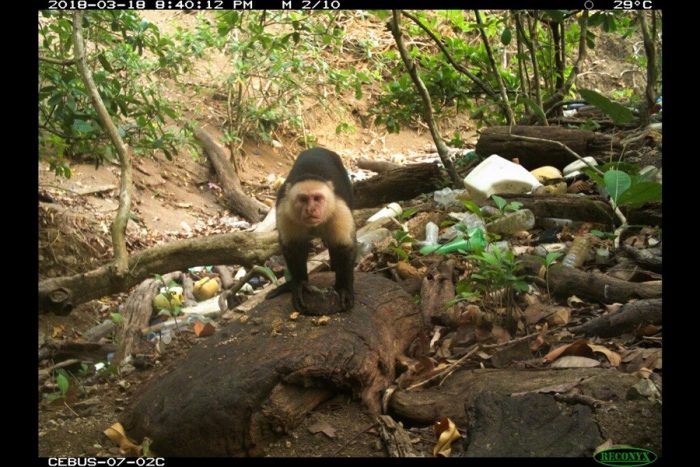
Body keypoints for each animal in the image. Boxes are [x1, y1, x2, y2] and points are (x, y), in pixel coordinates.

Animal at [266, 148, 358, 312]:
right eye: (303, 199)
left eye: (317, 198)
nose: (311, 209)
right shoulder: (285, 211)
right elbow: (293, 248)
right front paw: (299, 284)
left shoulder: (340, 211)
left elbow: (345, 248)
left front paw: (343, 288)